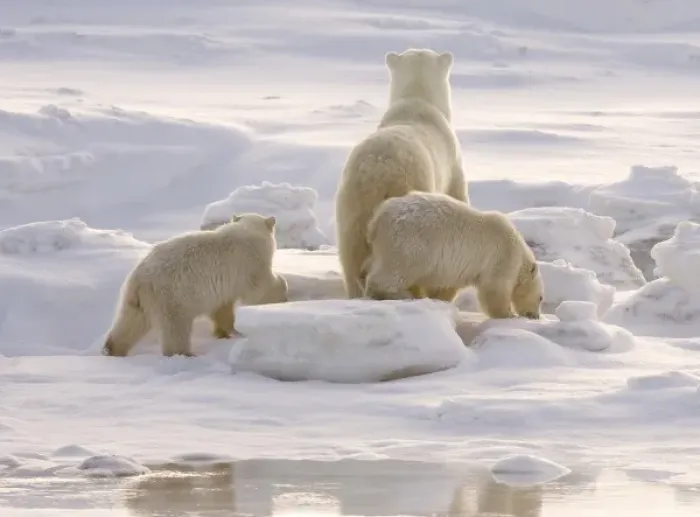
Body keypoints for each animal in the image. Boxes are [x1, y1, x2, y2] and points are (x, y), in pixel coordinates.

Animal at [102, 213, 288, 357]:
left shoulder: (224, 286)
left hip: (136, 299)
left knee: (130, 322)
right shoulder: (249, 263)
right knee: (175, 329)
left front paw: (225, 332)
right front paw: (283, 293)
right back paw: (186, 354)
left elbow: (222, 308)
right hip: (172, 297)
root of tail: (139, 279)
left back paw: (113, 349)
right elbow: (261, 289)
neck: (247, 231)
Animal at [334, 48, 469, 301]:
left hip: (350, 208)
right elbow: (457, 197)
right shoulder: (452, 164)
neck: (417, 101)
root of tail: (378, 174)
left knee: (352, 258)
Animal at [362, 191, 544, 319]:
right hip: (410, 243)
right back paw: (400, 294)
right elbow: (495, 288)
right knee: (396, 270)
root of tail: (377, 219)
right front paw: (508, 314)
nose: (535, 316)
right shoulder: (502, 257)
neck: (520, 253)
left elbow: (445, 286)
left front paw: (441, 299)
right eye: (541, 298)